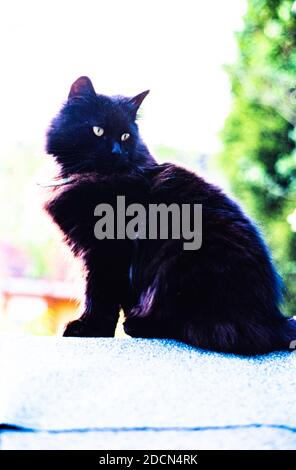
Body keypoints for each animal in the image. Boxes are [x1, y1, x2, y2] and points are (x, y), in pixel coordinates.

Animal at [44, 77, 296, 354]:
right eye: (97, 131)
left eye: (125, 136)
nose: (116, 152)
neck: (94, 177)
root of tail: (271, 318)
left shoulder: (107, 251)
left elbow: (100, 295)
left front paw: (91, 329)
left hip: (177, 268)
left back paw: (138, 325)